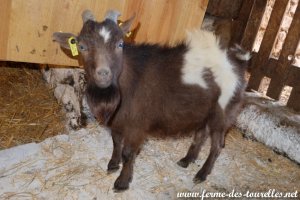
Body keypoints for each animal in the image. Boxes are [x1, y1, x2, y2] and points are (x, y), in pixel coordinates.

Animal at [52, 10, 250, 191]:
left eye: (120, 44)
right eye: (82, 46)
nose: (103, 74)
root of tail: (236, 63)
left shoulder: (136, 125)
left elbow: (128, 153)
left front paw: (122, 182)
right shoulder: (119, 120)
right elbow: (116, 142)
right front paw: (113, 164)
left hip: (223, 112)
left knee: (217, 145)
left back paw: (201, 174)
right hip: (204, 111)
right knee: (200, 135)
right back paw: (187, 160)